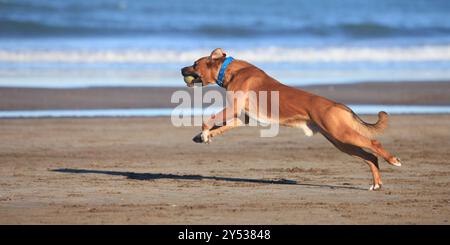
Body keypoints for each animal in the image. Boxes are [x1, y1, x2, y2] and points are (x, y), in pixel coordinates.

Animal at [181, 47, 402, 189]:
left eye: (195, 64)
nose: (181, 69)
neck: (229, 70)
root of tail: (337, 105)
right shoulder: (241, 117)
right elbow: (218, 126)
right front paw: (203, 136)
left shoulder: (232, 108)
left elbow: (208, 120)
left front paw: (204, 133)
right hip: (341, 142)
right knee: (371, 157)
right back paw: (376, 183)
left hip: (342, 134)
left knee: (374, 144)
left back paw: (393, 160)